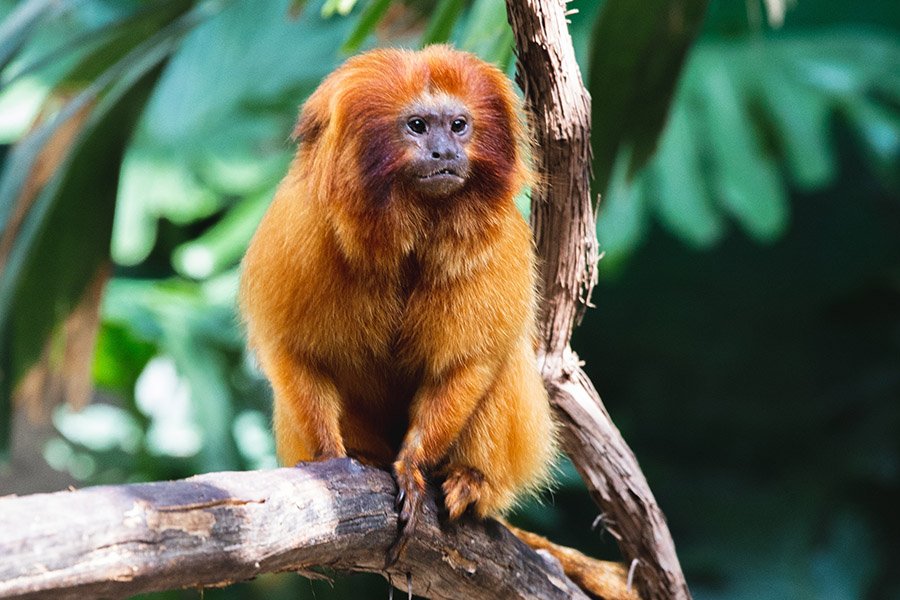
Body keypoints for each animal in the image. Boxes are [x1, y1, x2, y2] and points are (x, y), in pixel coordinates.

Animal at [239, 44, 632, 596]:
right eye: (419, 126)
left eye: (459, 125)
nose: (445, 152)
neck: (408, 223)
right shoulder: (302, 227)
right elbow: (295, 353)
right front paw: (333, 459)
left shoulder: (499, 244)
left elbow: (469, 364)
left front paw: (413, 467)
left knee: (507, 363)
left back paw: (473, 481)